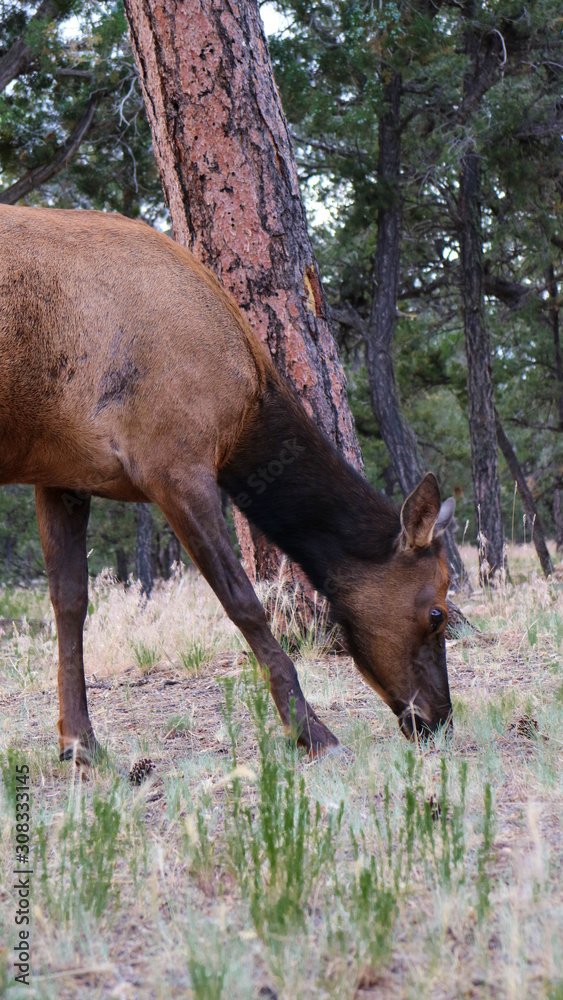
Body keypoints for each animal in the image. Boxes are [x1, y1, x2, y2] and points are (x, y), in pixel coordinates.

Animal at [0, 205, 455, 764]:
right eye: (436, 612)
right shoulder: (173, 463)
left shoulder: (63, 474)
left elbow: (69, 603)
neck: (247, 410)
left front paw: (79, 744)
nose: (439, 719)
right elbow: (245, 603)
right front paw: (313, 733)